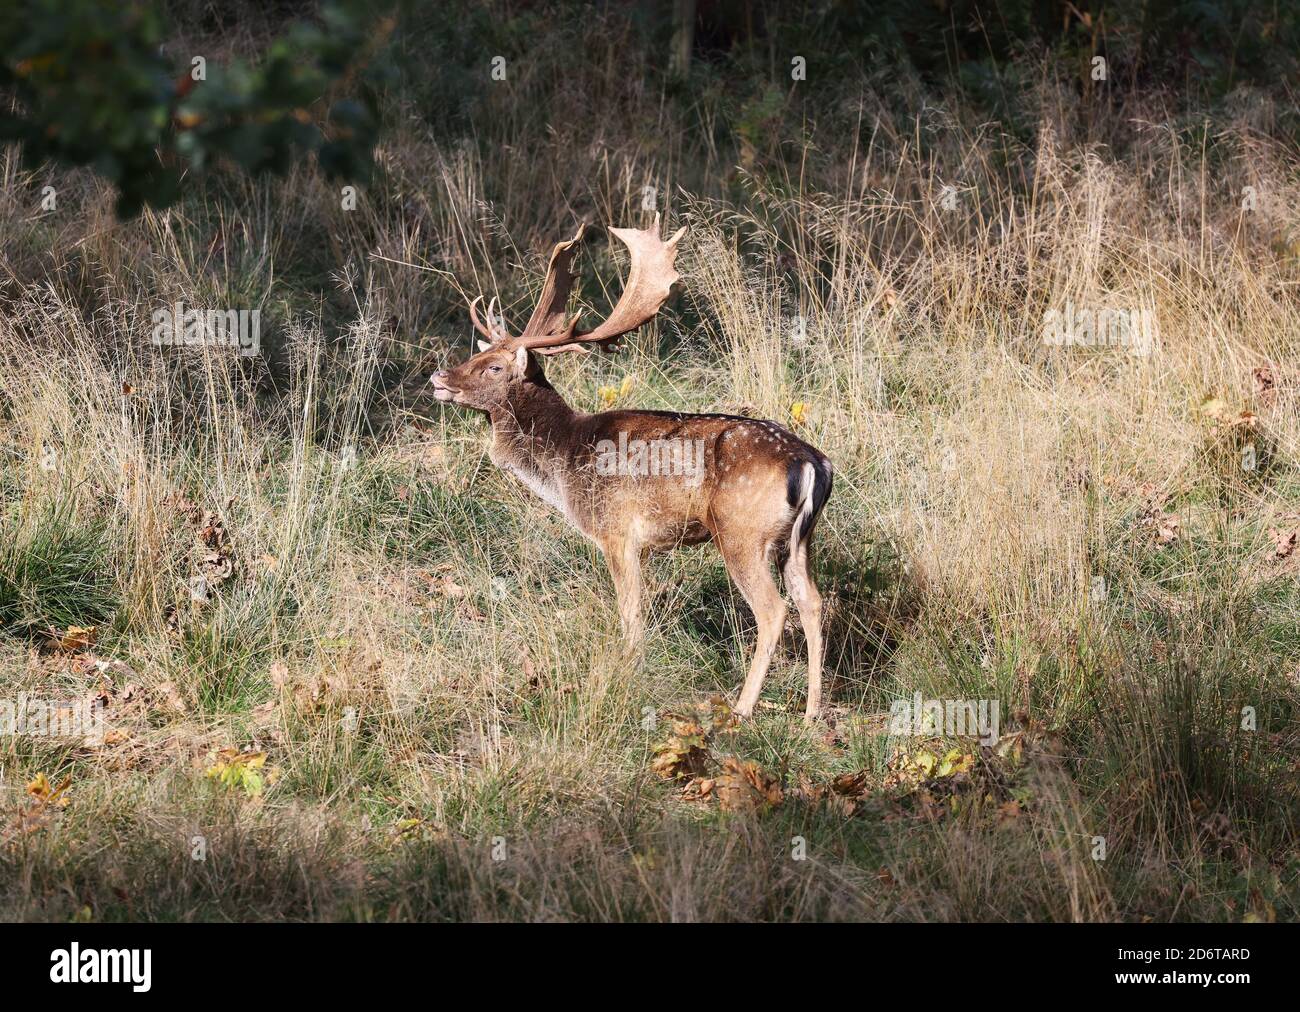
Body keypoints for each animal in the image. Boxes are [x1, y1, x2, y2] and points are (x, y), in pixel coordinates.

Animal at [430, 215, 834, 721]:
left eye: (495, 367)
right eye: (476, 355)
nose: (439, 378)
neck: (564, 461)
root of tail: (811, 462)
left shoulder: (616, 530)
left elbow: (631, 614)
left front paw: (629, 672)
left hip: (742, 531)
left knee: (774, 609)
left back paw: (742, 708)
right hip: (798, 539)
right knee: (813, 601)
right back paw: (812, 711)